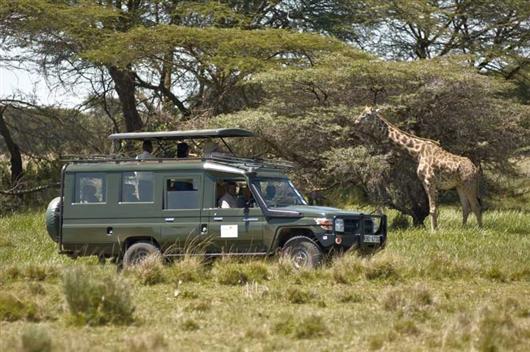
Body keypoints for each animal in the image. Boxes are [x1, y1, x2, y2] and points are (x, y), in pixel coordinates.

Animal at [352, 106, 480, 231]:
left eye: (368, 114)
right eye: (362, 112)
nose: (356, 122)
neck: (418, 152)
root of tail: (475, 168)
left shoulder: (429, 180)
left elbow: (432, 209)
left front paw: (434, 231)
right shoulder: (424, 181)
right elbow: (432, 208)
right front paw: (435, 229)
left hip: (469, 183)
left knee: (475, 206)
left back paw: (480, 229)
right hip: (460, 186)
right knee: (466, 207)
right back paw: (463, 228)